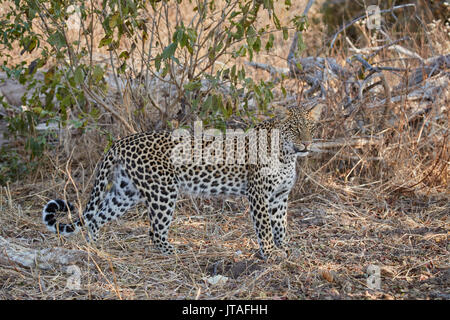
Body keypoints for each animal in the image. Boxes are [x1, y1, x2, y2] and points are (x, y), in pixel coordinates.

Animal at [42, 104, 324, 262]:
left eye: (311, 127)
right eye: (294, 128)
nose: (307, 143)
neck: (287, 155)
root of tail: (121, 141)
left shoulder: (279, 196)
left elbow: (281, 226)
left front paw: (285, 248)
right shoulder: (259, 194)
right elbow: (265, 227)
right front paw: (271, 253)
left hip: (126, 192)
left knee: (96, 218)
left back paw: (97, 250)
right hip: (163, 191)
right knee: (154, 231)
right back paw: (175, 251)